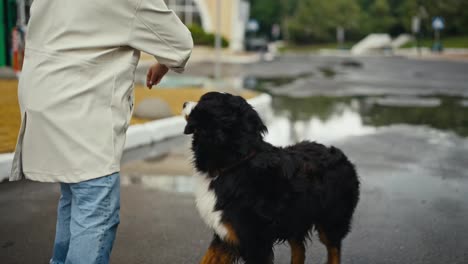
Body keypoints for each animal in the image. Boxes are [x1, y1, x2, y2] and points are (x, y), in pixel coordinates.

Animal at [182, 92, 358, 262]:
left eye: (201, 100)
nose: (184, 103)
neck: (235, 163)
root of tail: (341, 155)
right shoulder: (226, 234)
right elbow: (208, 258)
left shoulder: (253, 241)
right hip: (294, 219)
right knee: (299, 250)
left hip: (331, 221)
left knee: (333, 250)